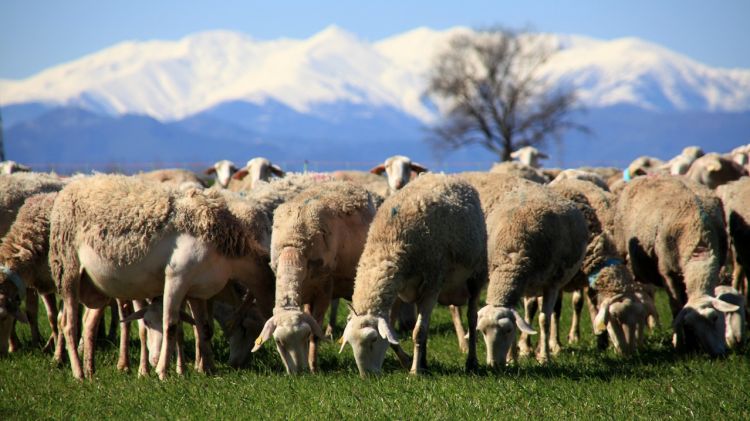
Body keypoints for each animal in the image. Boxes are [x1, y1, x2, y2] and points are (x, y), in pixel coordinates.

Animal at [253, 180, 378, 370]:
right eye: (279, 342)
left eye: (304, 336)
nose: (299, 372)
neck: (292, 247)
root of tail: (345, 182)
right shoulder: (304, 292)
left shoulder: (324, 289)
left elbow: (315, 333)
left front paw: (313, 367)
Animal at [340, 172, 488, 376]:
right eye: (350, 342)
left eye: (373, 339)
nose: (367, 376)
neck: (389, 242)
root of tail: (445, 176)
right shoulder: (398, 289)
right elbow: (396, 335)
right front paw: (408, 361)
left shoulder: (433, 283)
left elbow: (417, 332)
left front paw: (414, 372)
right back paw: (424, 361)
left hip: (476, 273)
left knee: (472, 318)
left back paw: (471, 361)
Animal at [616, 176, 740, 356]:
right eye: (690, 326)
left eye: (715, 317)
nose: (717, 354)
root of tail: (646, 176)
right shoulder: (668, 274)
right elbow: (676, 308)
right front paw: (680, 344)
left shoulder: (718, 264)